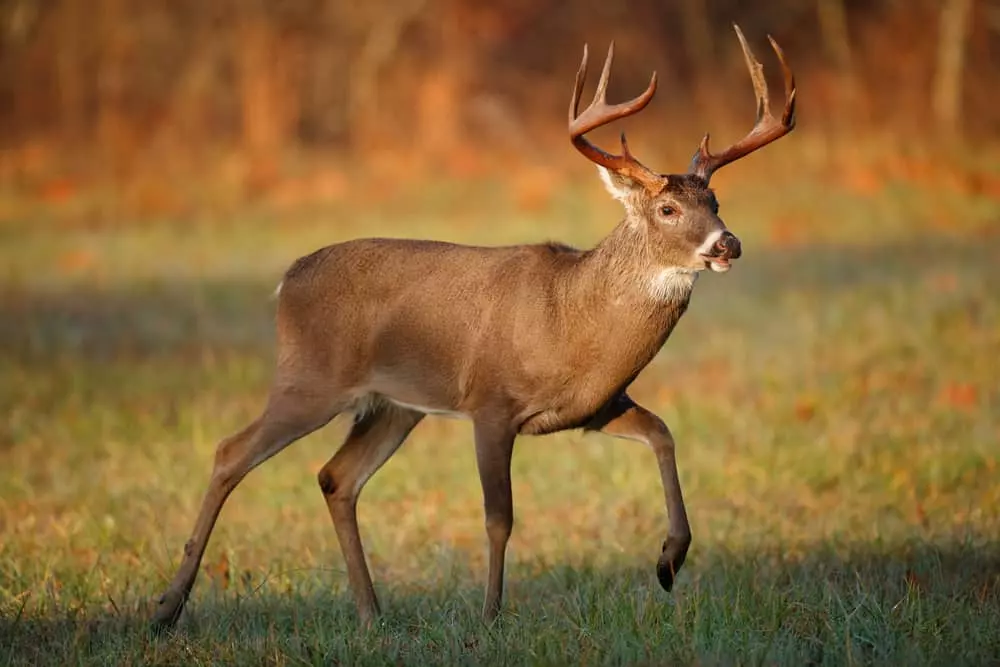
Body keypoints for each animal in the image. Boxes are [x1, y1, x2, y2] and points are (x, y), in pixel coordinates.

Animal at [151, 25, 795, 631]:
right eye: (667, 209)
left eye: (715, 201)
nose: (728, 243)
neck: (570, 318)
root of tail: (286, 281)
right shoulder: (491, 403)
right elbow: (498, 517)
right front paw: (490, 617)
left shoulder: (594, 407)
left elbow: (663, 433)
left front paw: (668, 561)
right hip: (310, 379)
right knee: (231, 452)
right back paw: (166, 609)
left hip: (394, 405)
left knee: (337, 477)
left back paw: (372, 614)